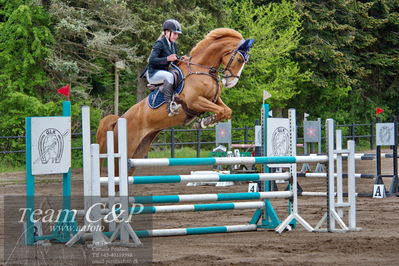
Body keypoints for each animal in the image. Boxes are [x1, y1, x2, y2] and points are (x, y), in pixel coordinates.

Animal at [96, 28, 253, 176]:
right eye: (239, 60)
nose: (230, 83)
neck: (201, 69)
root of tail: (119, 119)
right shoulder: (194, 102)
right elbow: (221, 110)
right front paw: (204, 122)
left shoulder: (214, 99)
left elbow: (226, 111)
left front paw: (206, 121)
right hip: (126, 148)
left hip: (140, 150)